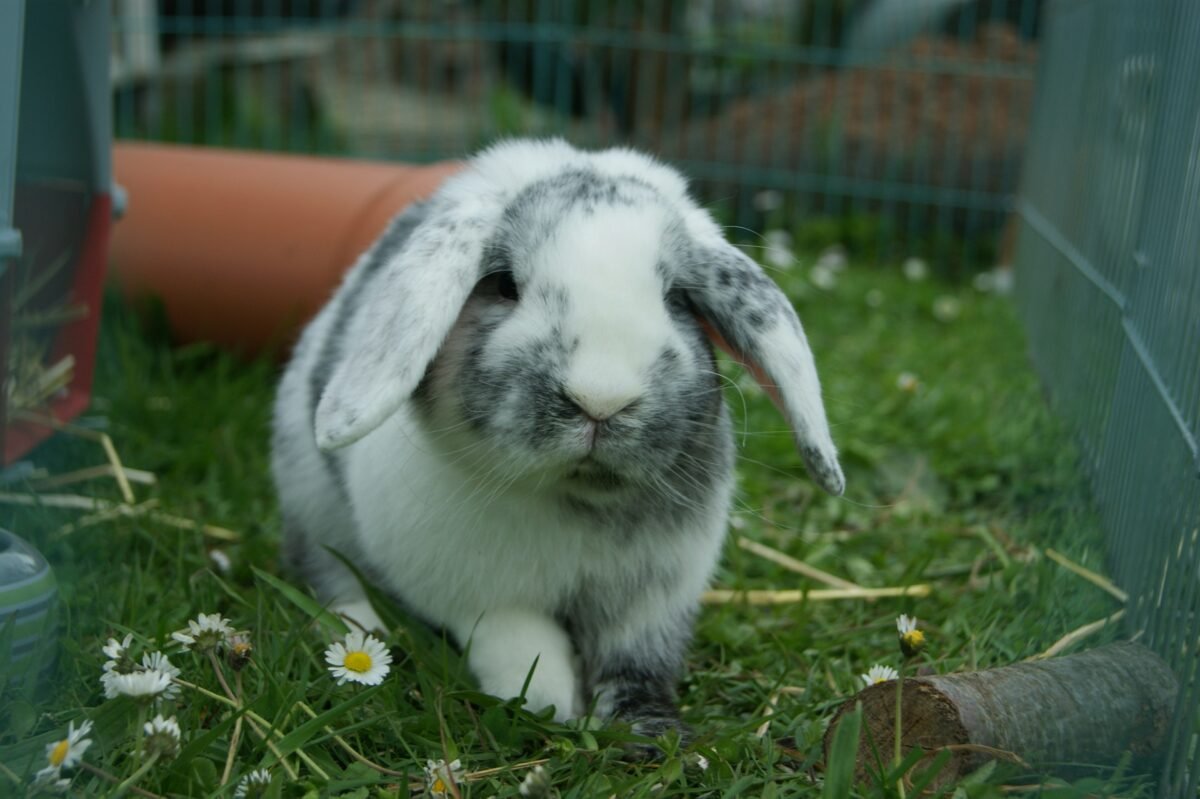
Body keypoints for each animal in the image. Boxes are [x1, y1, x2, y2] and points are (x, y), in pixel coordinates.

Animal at [271, 138, 844, 744]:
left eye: (676, 300)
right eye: (504, 285)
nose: (601, 400)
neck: (574, 498)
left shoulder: (650, 603)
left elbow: (636, 665)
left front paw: (653, 735)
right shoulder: (479, 594)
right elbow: (521, 643)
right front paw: (548, 704)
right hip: (311, 500)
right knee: (326, 570)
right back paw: (359, 629)